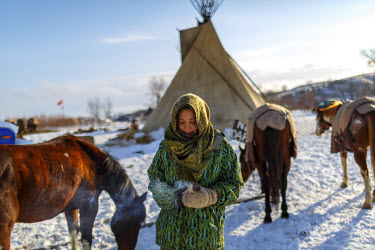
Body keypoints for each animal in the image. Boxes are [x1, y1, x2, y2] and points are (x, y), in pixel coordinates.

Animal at [0, 134, 147, 249]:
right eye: (137, 222)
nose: (128, 248)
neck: (93, 160)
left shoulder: (71, 208)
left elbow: (73, 234)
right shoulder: (89, 206)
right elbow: (86, 239)